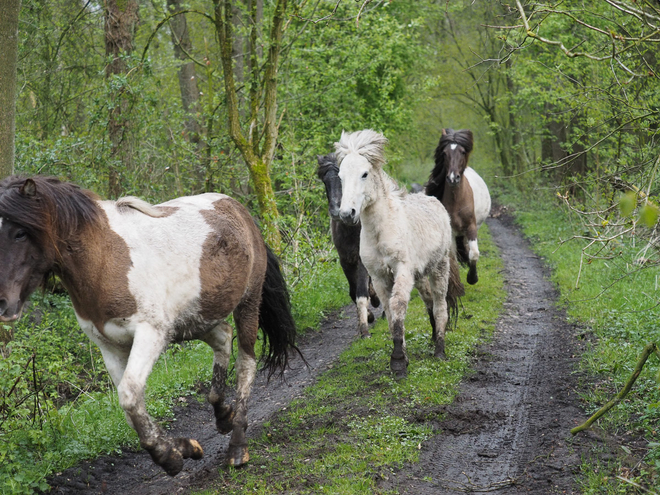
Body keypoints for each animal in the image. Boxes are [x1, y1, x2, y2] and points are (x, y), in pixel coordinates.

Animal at [0, 177, 296, 476]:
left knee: (246, 364)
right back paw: (223, 415)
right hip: (194, 320)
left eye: (20, 233)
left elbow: (129, 396)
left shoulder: (149, 334)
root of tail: (238, 208)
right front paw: (183, 448)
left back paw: (237, 448)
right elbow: (130, 407)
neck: (104, 261)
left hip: (248, 303)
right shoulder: (110, 347)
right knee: (223, 337)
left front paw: (169, 457)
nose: (3, 304)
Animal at [316, 153, 378, 338]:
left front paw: (364, 329)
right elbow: (353, 292)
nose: (338, 212)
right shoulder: (345, 261)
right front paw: (368, 316)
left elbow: (361, 294)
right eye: (324, 180)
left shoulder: (362, 260)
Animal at [338, 130, 462, 378]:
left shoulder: (402, 270)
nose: (347, 214)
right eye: (340, 177)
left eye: (364, 174)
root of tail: (434, 202)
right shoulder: (378, 277)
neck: (382, 231)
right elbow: (389, 312)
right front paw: (402, 357)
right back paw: (433, 337)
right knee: (428, 301)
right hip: (420, 275)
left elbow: (397, 306)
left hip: (439, 267)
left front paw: (397, 363)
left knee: (440, 305)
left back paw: (439, 349)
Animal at [426, 130, 492, 284]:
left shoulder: (471, 226)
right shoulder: (450, 232)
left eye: (462, 152)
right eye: (444, 153)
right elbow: (453, 259)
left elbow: (474, 253)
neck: (457, 200)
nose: (452, 178)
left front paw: (472, 278)